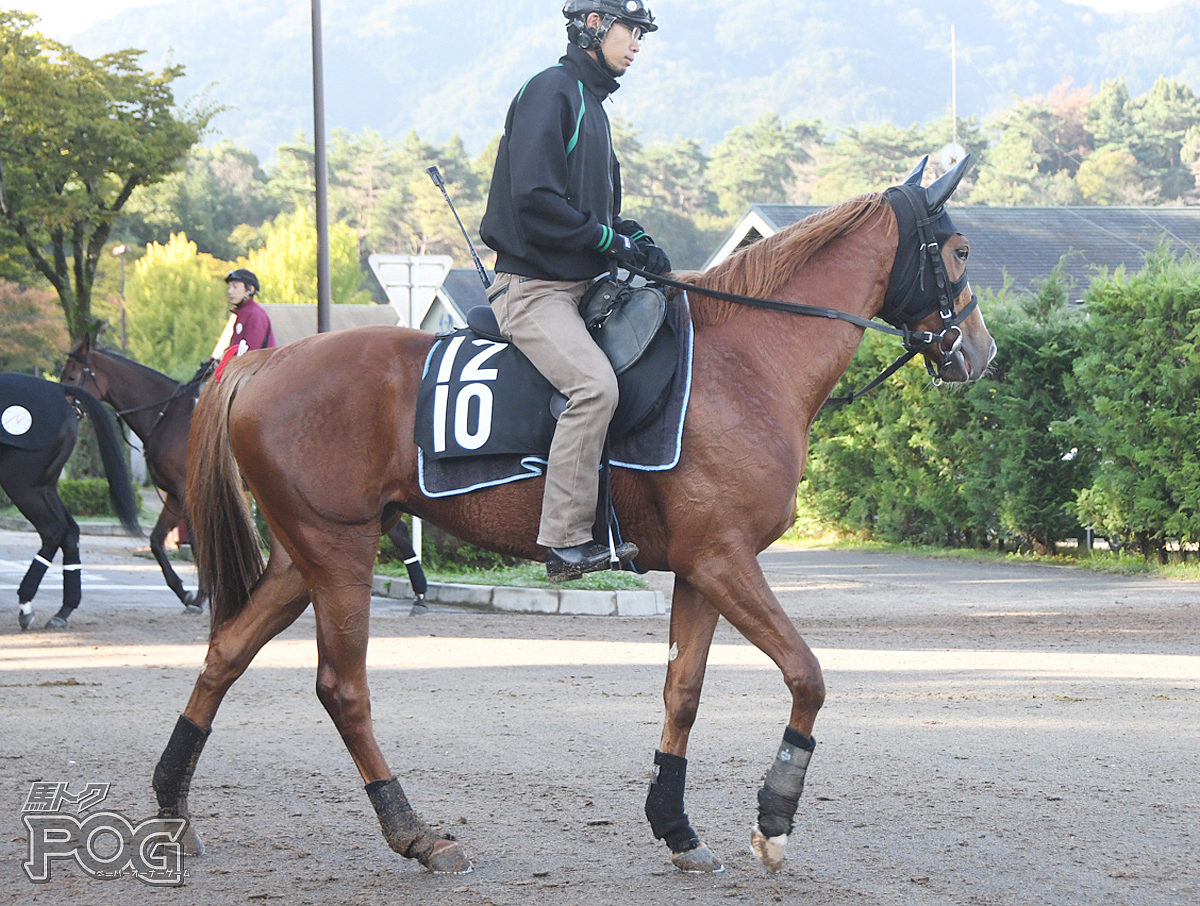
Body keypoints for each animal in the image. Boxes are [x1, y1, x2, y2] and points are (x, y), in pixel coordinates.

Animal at [0, 372, 141, 628]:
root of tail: (58, 390)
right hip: (44, 487)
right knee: (69, 531)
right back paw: (63, 610)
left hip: (22, 485)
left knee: (54, 530)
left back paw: (26, 606)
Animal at [152, 159, 993, 873]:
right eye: (957, 250)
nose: (980, 351)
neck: (747, 359)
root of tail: (266, 364)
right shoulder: (726, 559)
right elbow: (807, 675)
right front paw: (773, 820)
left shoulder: (700, 568)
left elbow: (683, 692)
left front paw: (676, 827)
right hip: (338, 553)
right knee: (342, 689)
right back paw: (415, 834)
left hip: (304, 557)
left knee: (225, 654)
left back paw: (172, 808)